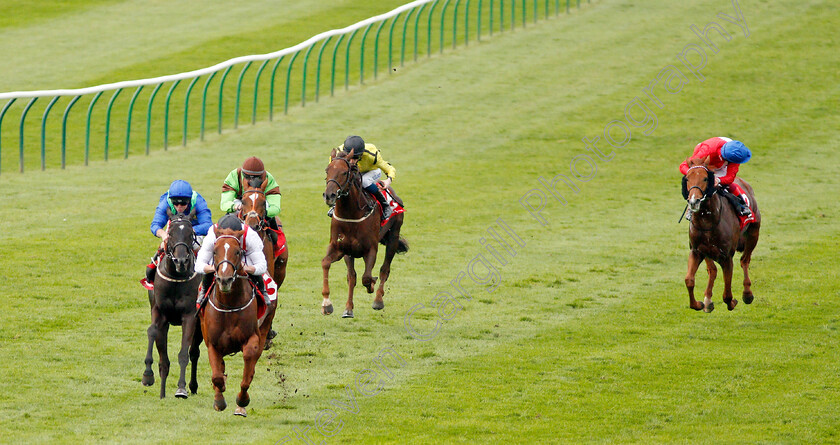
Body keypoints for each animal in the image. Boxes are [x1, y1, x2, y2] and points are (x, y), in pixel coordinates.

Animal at [141, 210, 202, 398]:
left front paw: (181, 388)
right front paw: (148, 375)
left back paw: (193, 386)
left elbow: (184, 353)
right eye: (171, 234)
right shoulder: (159, 312)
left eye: (190, 234)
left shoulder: (190, 316)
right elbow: (152, 332)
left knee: (194, 352)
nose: (180, 261)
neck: (176, 278)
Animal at [197, 225, 270, 416]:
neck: (229, 305)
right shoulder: (212, 343)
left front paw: (242, 400)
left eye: (237, 252)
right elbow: (216, 376)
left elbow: (248, 364)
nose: (224, 279)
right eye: (214, 251)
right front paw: (219, 398)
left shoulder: (252, 338)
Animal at [320, 151, 408, 318]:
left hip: (393, 236)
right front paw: (329, 304)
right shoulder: (341, 248)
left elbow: (367, 277)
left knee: (384, 269)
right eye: (327, 170)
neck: (352, 215)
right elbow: (330, 265)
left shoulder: (371, 249)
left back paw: (378, 300)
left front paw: (372, 285)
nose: (329, 195)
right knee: (354, 276)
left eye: (345, 172)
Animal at [684, 158, 760, 310]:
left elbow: (727, 294)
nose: (694, 201)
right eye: (687, 178)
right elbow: (689, 280)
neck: (707, 221)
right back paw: (708, 300)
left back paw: (747, 294)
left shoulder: (726, 257)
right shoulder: (697, 251)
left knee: (745, 260)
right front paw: (698, 304)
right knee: (712, 270)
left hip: (754, 233)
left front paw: (733, 302)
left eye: (705, 178)